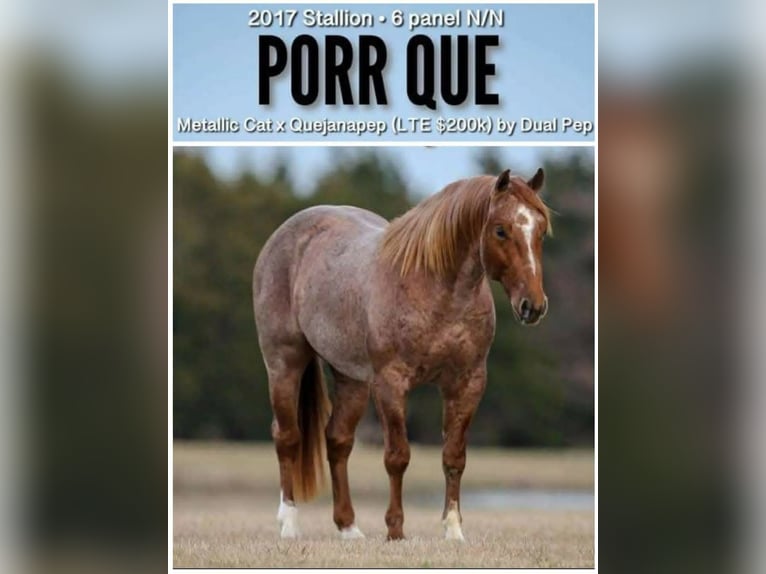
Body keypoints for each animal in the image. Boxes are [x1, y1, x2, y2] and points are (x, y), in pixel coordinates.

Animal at [252, 168, 552, 541]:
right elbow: (397, 457)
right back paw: (290, 525)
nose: (533, 305)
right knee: (287, 438)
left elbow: (454, 457)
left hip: (351, 379)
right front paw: (395, 530)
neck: (437, 289)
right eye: (501, 230)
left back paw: (349, 527)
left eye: (541, 230)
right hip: (285, 362)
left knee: (337, 441)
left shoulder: (467, 383)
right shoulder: (391, 384)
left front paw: (453, 530)